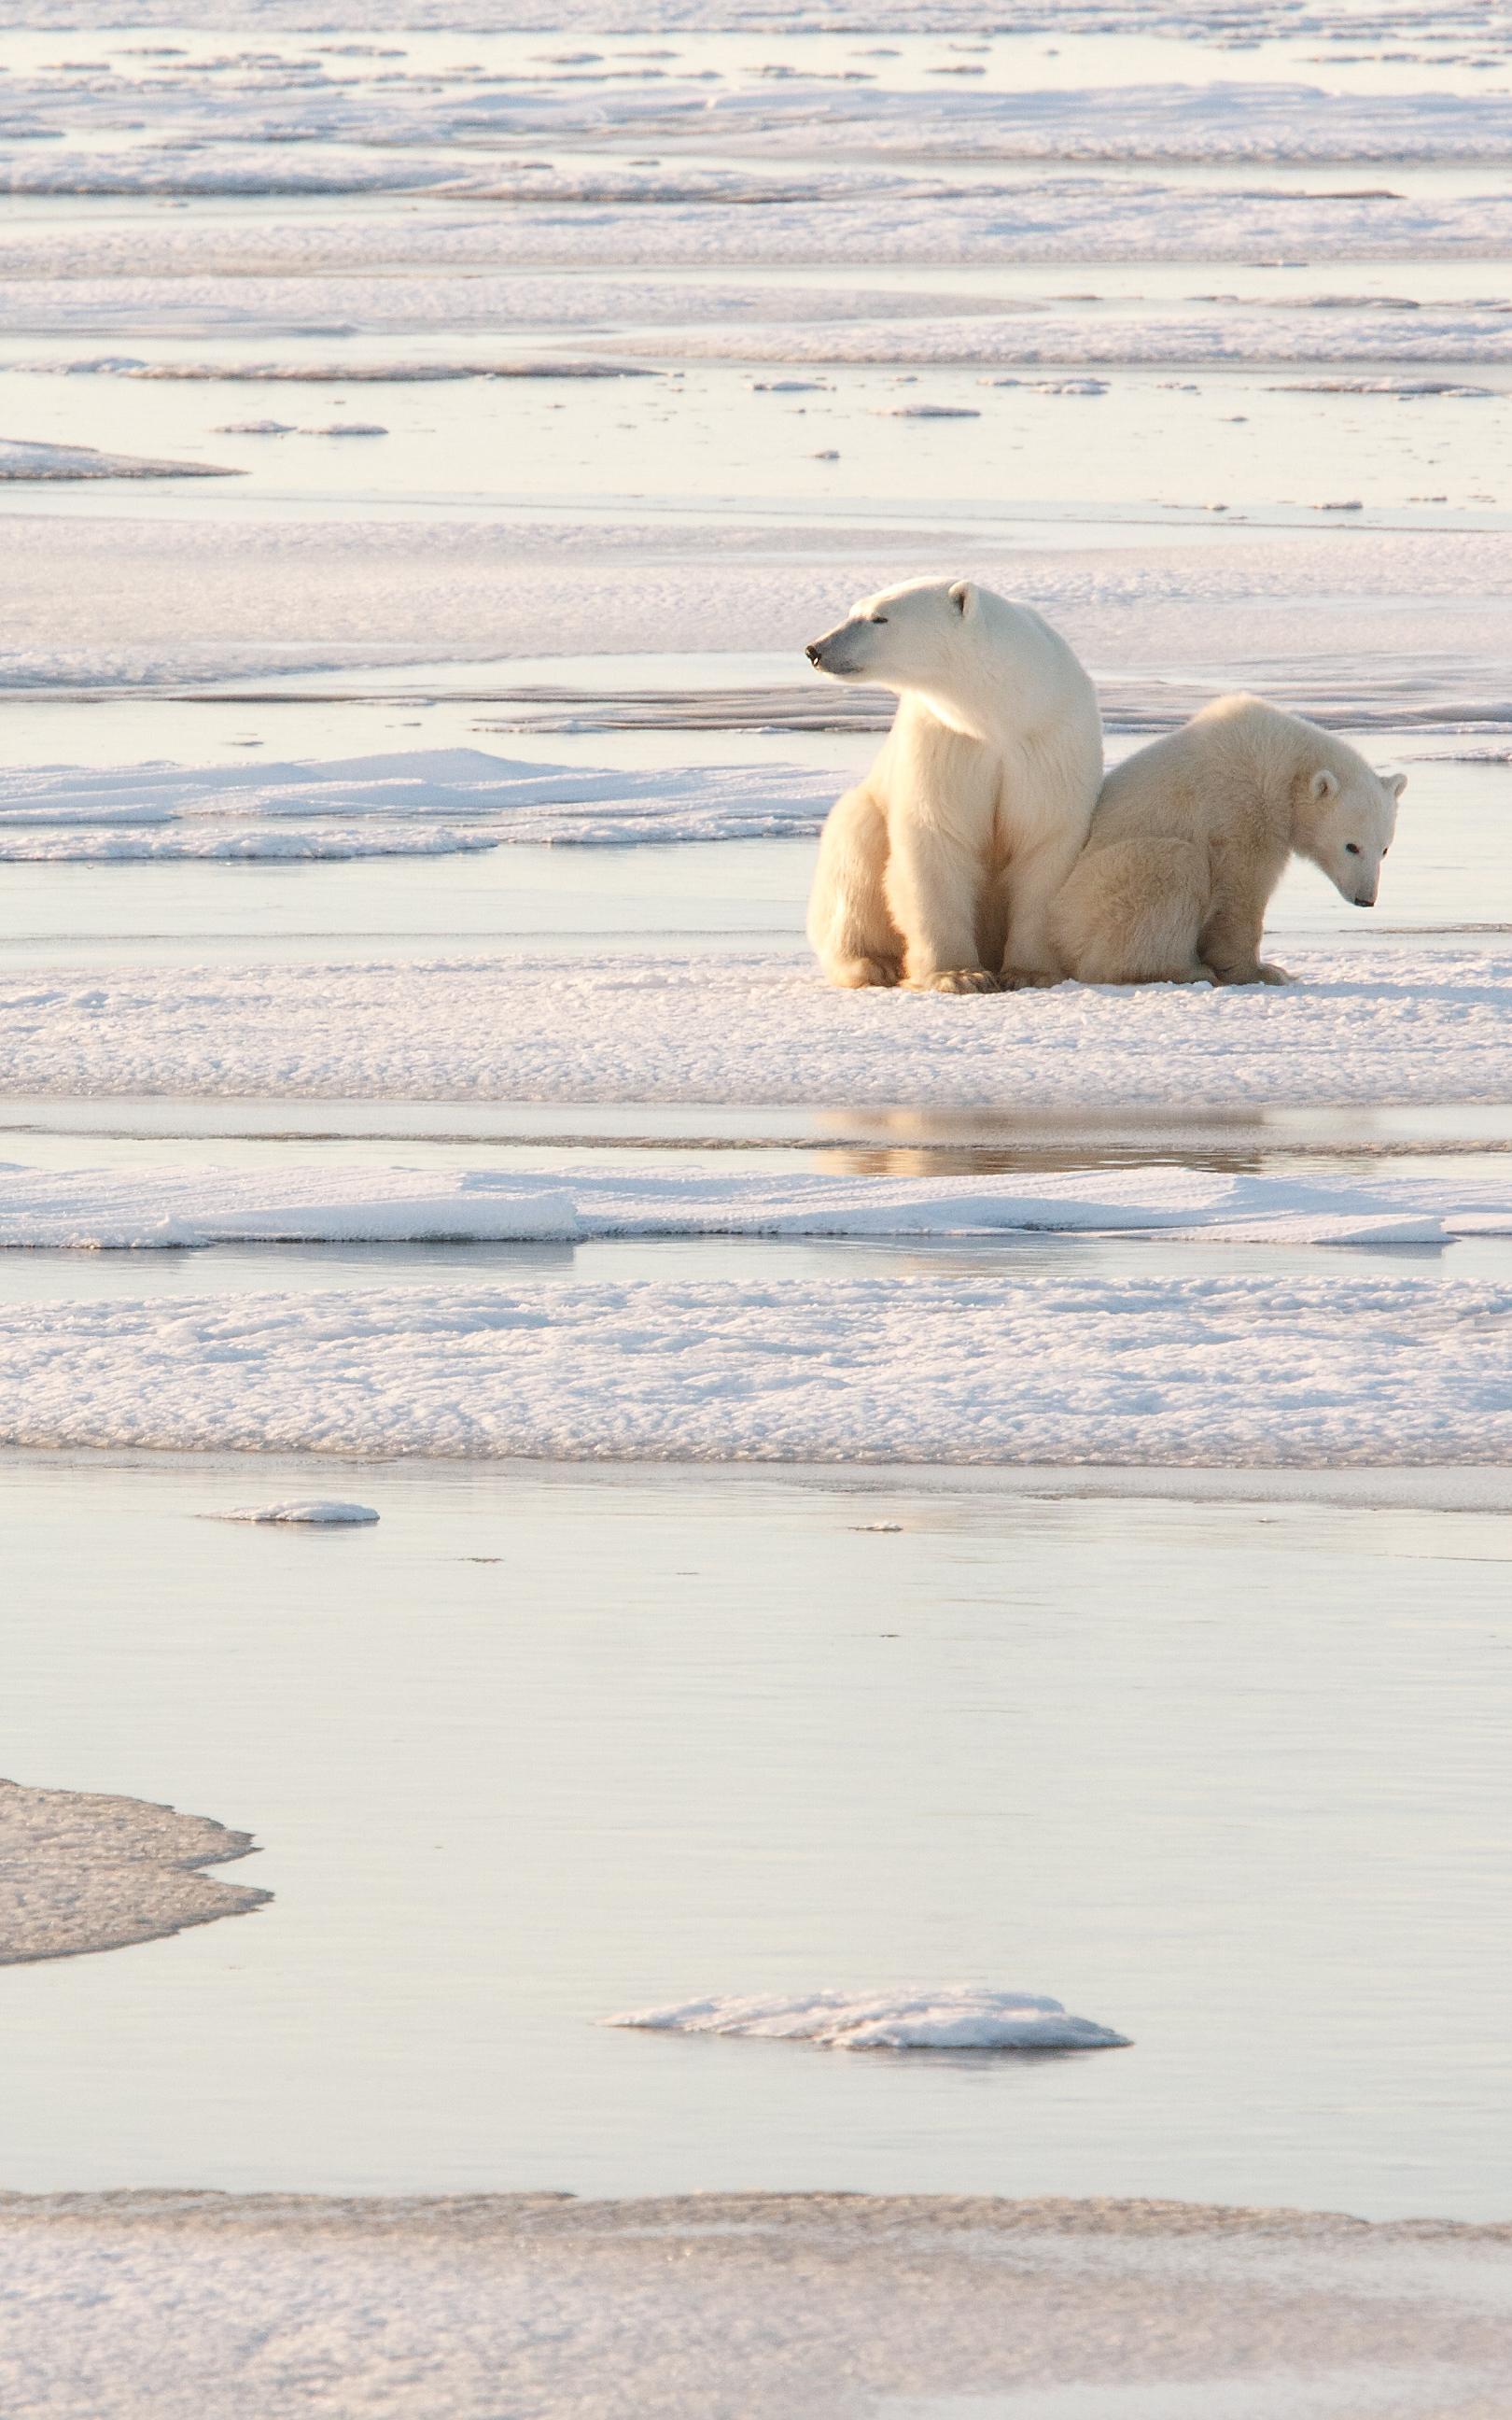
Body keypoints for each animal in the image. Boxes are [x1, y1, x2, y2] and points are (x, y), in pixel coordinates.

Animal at [803, 578, 1098, 992]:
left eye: (879, 617)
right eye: (853, 611)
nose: (815, 649)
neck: (1001, 711)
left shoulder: (1049, 742)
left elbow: (1044, 841)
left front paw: (1031, 972)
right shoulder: (946, 739)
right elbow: (938, 836)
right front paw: (958, 975)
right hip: (863, 816)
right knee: (854, 854)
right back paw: (871, 963)